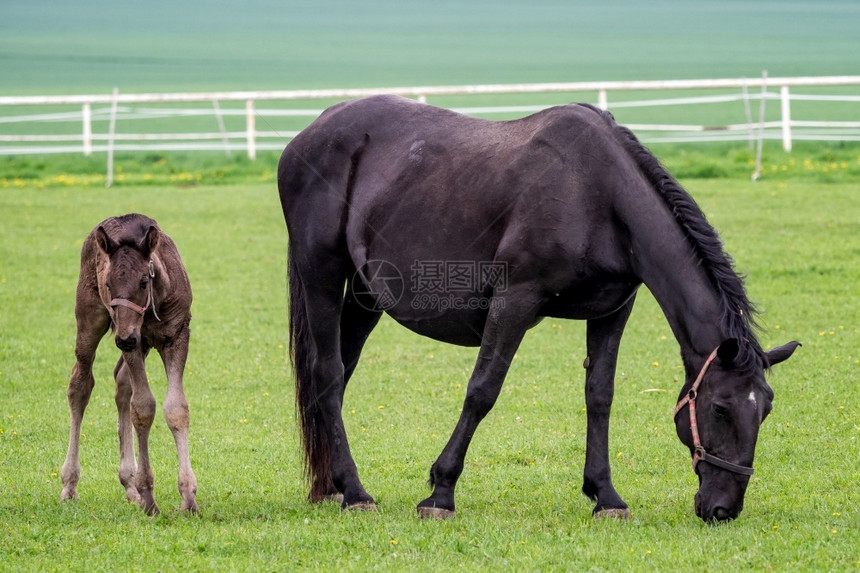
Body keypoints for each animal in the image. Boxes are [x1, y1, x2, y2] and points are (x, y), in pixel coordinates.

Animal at [278, 95, 804, 524]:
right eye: (720, 408)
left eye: (765, 409)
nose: (724, 509)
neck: (597, 195)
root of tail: (311, 131)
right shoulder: (515, 302)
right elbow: (482, 391)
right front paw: (441, 492)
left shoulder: (613, 311)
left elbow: (600, 395)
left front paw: (605, 495)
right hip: (322, 275)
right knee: (327, 374)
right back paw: (356, 492)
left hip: (367, 293)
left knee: (340, 374)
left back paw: (333, 486)